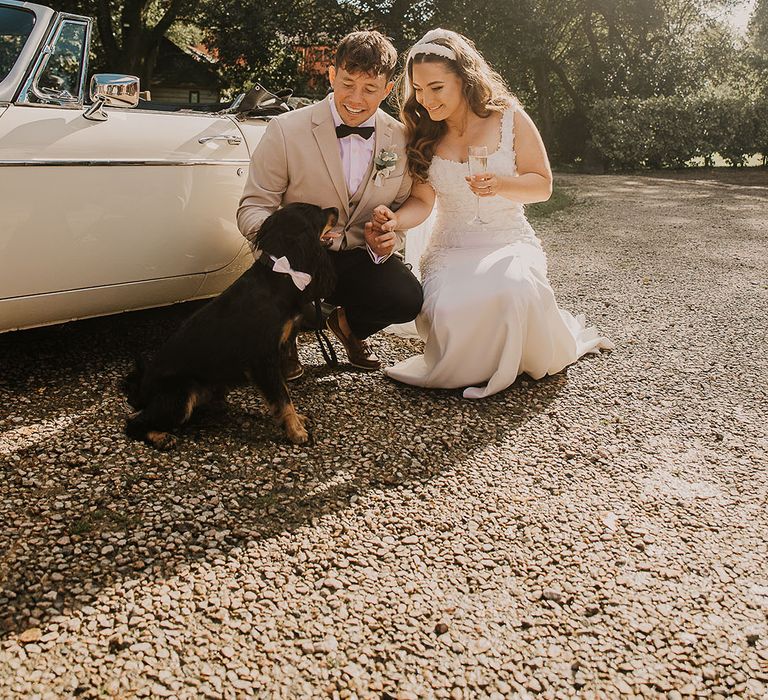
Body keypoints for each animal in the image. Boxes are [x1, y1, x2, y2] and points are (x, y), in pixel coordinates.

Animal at [124, 201, 338, 448]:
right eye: (319, 211)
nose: (337, 209)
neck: (279, 275)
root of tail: (142, 388)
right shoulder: (263, 359)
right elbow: (283, 397)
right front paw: (296, 431)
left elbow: (282, 393)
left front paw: (296, 421)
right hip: (182, 393)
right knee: (134, 422)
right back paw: (161, 437)